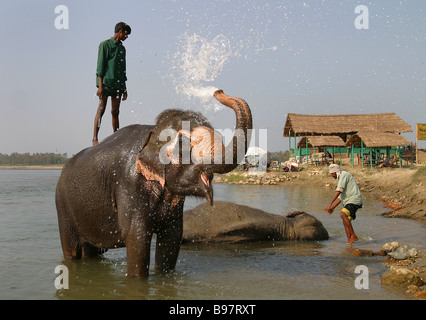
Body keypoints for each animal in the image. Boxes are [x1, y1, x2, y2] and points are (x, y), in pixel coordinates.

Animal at [54, 89, 251, 276]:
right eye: (183, 142)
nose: (218, 92)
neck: (153, 132)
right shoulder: (128, 184)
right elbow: (137, 238)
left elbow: (172, 239)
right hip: (63, 208)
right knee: (72, 251)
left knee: (92, 251)